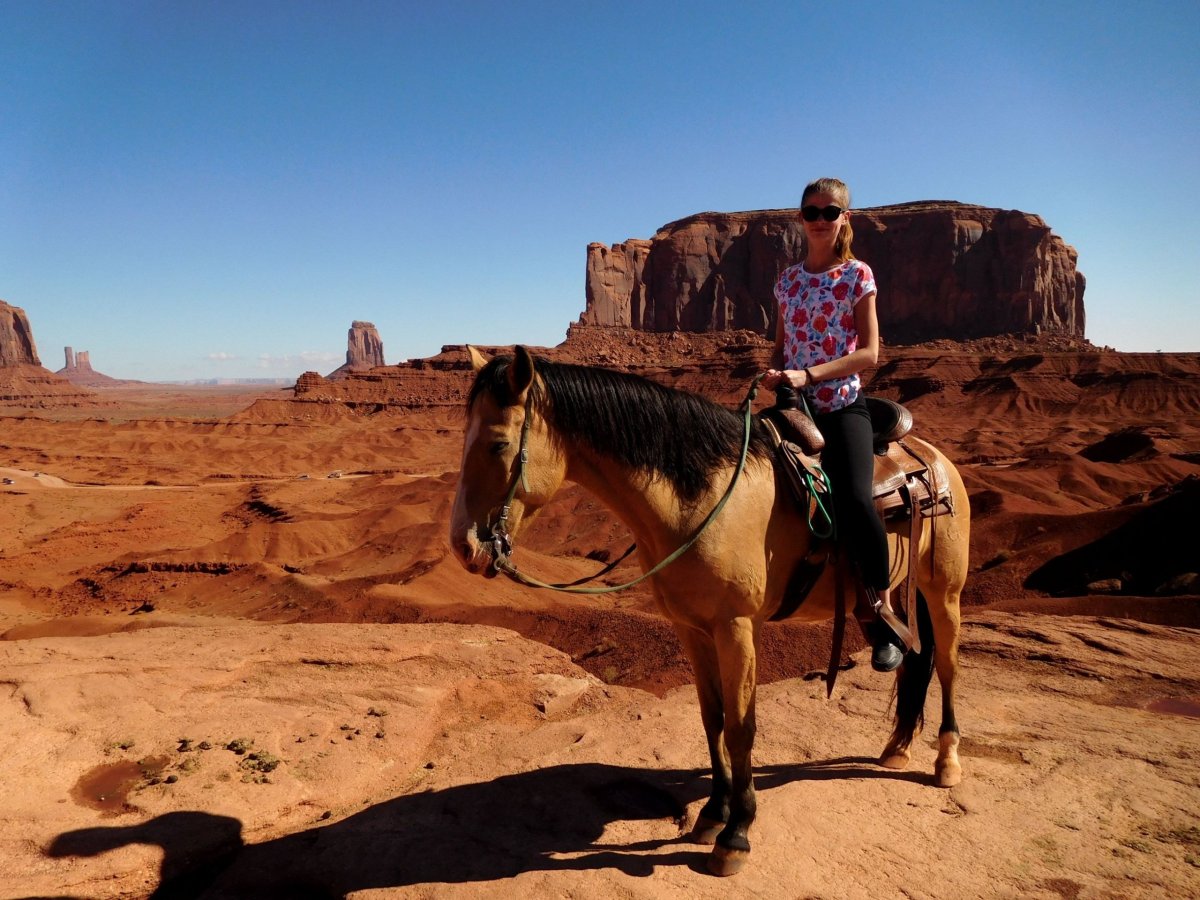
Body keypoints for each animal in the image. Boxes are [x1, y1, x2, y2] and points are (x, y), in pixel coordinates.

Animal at [449, 346, 971, 877]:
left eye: (497, 444)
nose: (464, 547)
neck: (700, 499)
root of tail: (930, 455)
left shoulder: (736, 628)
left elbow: (741, 727)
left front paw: (736, 833)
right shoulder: (692, 630)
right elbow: (712, 719)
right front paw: (712, 814)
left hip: (944, 589)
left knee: (947, 664)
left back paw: (946, 762)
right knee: (910, 655)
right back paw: (897, 746)